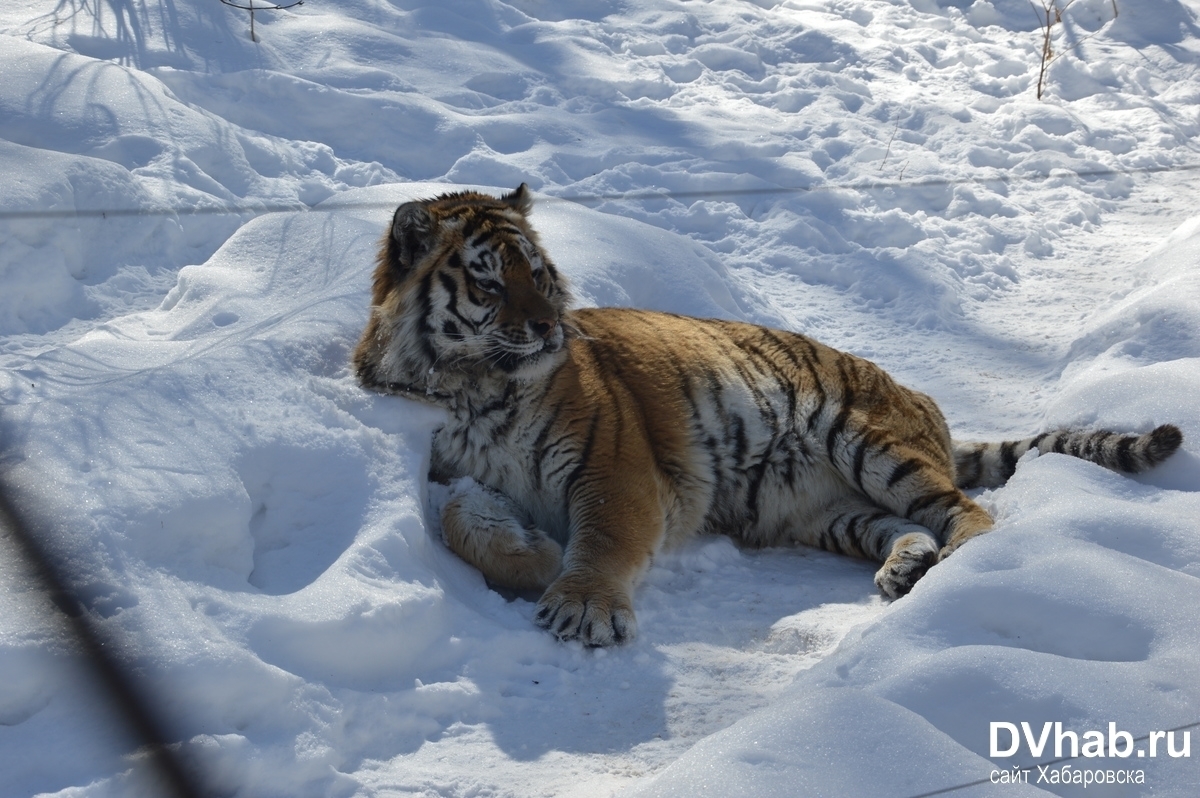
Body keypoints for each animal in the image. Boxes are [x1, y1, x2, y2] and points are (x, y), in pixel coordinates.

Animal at [350, 184, 1185, 648]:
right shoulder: (460, 471)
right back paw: (904, 566)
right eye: (491, 283)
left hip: (866, 440)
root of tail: (926, 407)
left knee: (969, 511)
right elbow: (464, 522)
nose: (551, 327)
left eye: (539, 272)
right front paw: (539, 561)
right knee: (906, 522)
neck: (475, 388)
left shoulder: (615, 466)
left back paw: (961, 569)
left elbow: (607, 535)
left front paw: (583, 606)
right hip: (819, 511)